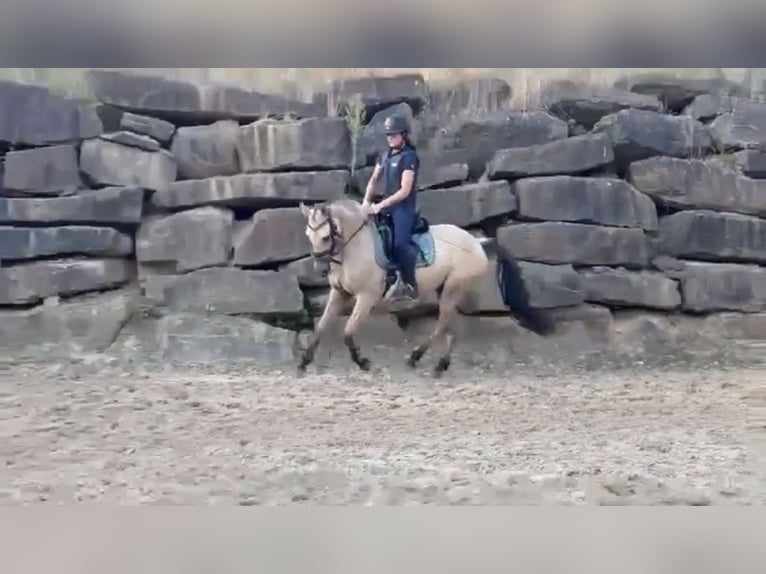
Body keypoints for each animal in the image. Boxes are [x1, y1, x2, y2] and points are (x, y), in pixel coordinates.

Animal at [300, 199, 560, 378]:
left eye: (325, 237)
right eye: (308, 235)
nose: (319, 267)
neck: (355, 247)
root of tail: (477, 242)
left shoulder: (366, 297)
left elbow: (347, 332)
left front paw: (362, 362)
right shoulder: (339, 293)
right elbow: (321, 327)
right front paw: (304, 361)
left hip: (452, 289)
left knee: (442, 325)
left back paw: (416, 357)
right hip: (446, 290)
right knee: (452, 328)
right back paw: (441, 364)